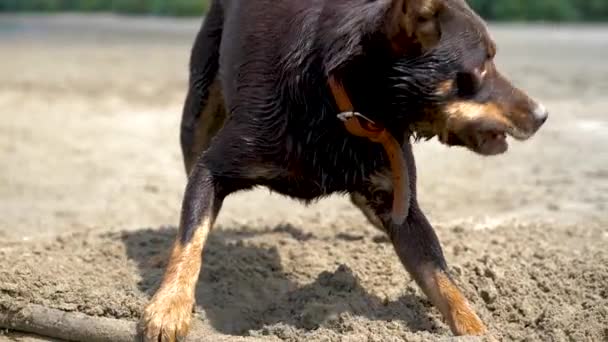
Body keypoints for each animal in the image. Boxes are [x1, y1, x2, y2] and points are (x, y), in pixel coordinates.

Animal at [140, 0, 548, 340]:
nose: (543, 114)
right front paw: (169, 305)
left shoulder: (402, 204)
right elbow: (191, 237)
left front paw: (477, 329)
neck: (342, 101)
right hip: (198, 109)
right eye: (481, 67)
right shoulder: (213, 168)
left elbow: (442, 281)